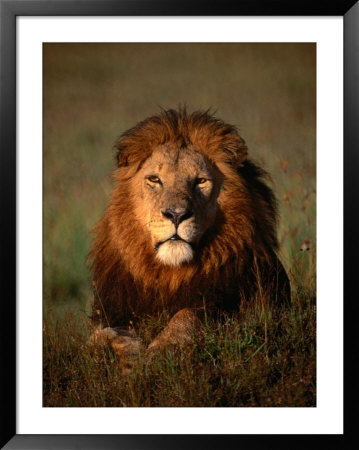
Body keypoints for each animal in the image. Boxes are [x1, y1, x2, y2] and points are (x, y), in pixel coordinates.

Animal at [88, 109, 292, 362]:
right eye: (154, 179)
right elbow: (96, 337)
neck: (171, 274)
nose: (176, 214)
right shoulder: (112, 309)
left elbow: (187, 315)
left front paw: (163, 350)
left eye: (200, 181)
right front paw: (128, 352)